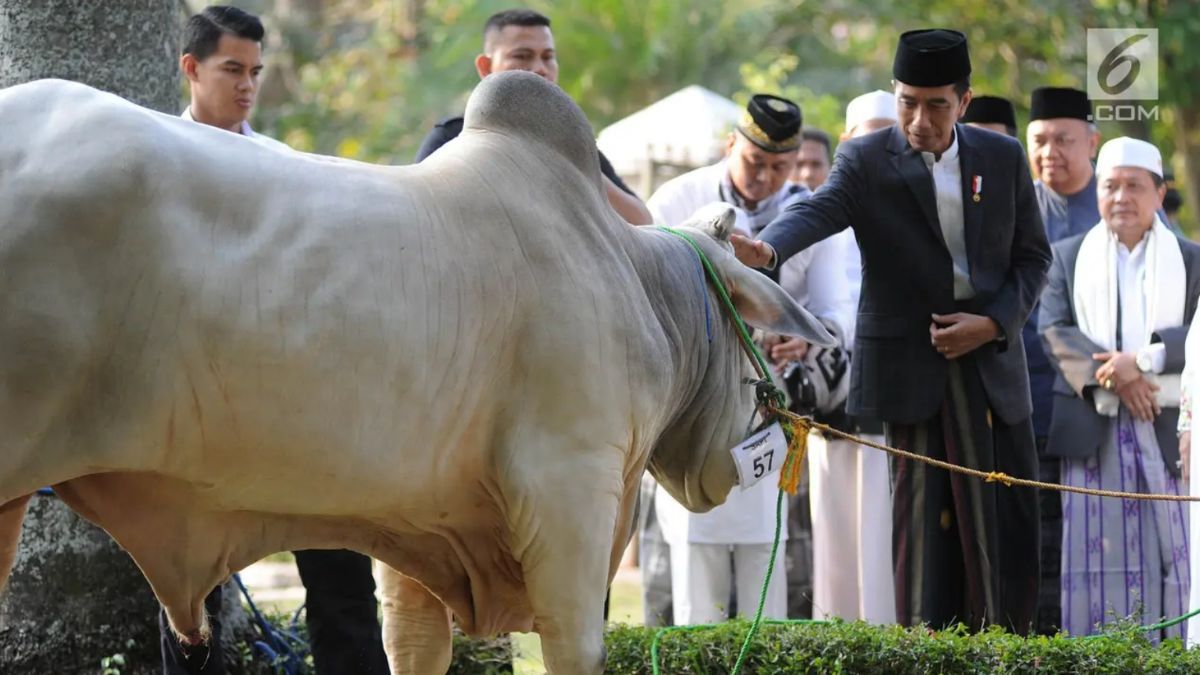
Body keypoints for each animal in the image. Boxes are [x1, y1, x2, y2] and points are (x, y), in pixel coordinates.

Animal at [0, 70, 830, 667]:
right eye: (748, 332)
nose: (770, 418)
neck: (632, 278)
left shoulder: (417, 523)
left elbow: (415, 645)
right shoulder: (572, 490)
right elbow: (574, 647)